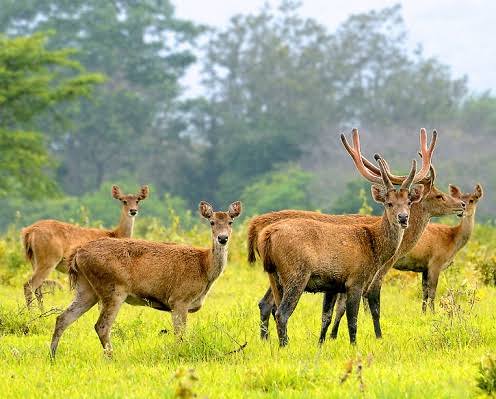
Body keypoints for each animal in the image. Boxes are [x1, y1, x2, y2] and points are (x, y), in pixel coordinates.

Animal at [50, 202, 242, 358]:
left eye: (230, 222)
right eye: (212, 222)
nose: (222, 238)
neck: (204, 268)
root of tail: (77, 254)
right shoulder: (179, 299)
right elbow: (180, 334)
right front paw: (179, 354)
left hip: (87, 289)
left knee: (63, 318)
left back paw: (52, 356)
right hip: (113, 288)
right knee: (101, 325)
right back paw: (112, 357)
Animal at [258, 151, 424, 346]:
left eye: (409, 202)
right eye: (389, 203)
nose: (403, 218)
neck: (373, 246)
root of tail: (267, 236)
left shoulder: (332, 285)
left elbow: (326, 317)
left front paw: (321, 344)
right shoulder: (355, 280)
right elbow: (352, 320)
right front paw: (354, 345)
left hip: (274, 276)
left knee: (274, 308)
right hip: (296, 273)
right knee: (282, 313)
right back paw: (285, 346)